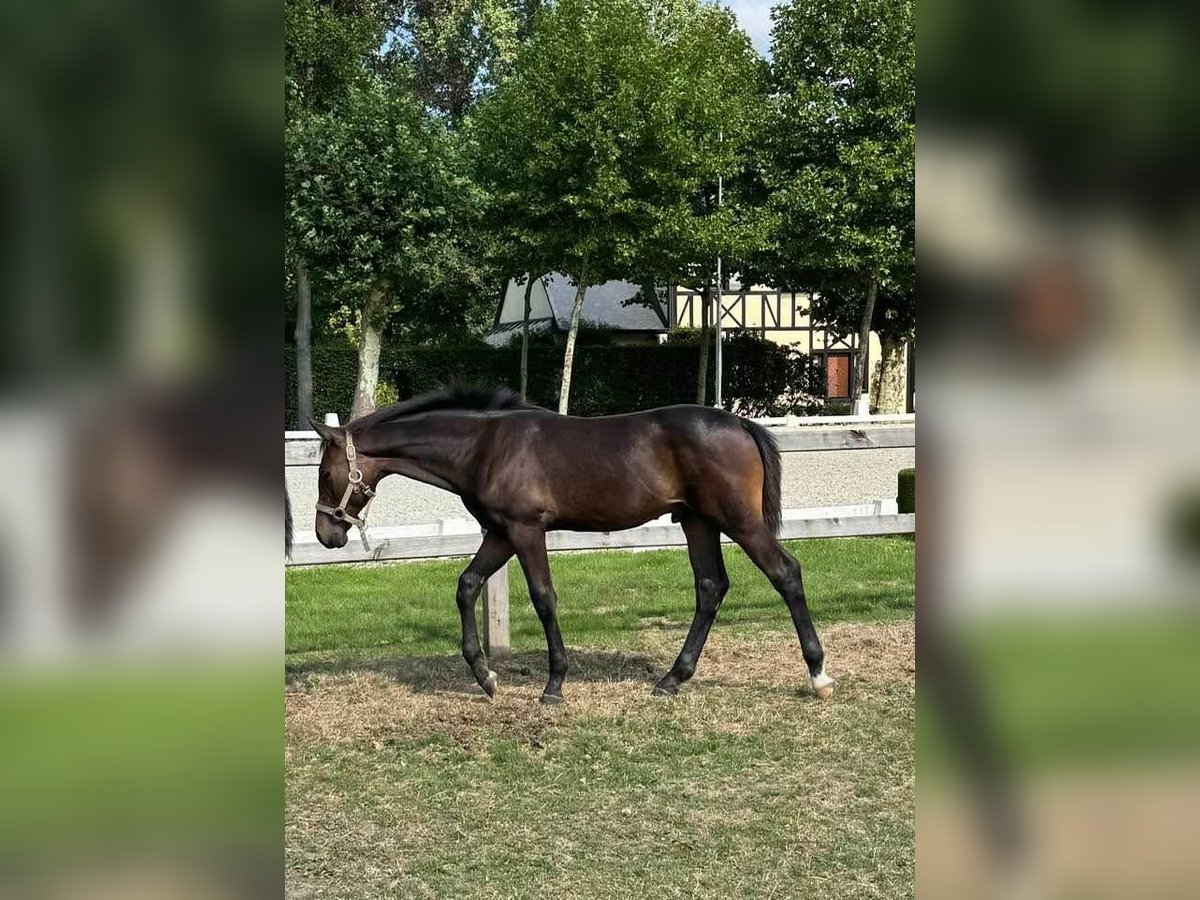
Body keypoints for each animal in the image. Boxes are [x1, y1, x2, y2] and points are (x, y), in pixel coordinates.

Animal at [310, 387, 834, 704]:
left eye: (324, 473)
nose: (326, 535)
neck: (485, 444)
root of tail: (741, 424)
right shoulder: (501, 532)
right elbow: (467, 585)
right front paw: (486, 676)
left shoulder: (525, 530)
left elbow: (543, 598)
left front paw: (554, 685)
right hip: (697, 521)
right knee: (710, 586)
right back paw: (671, 679)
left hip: (738, 520)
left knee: (785, 572)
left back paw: (819, 675)